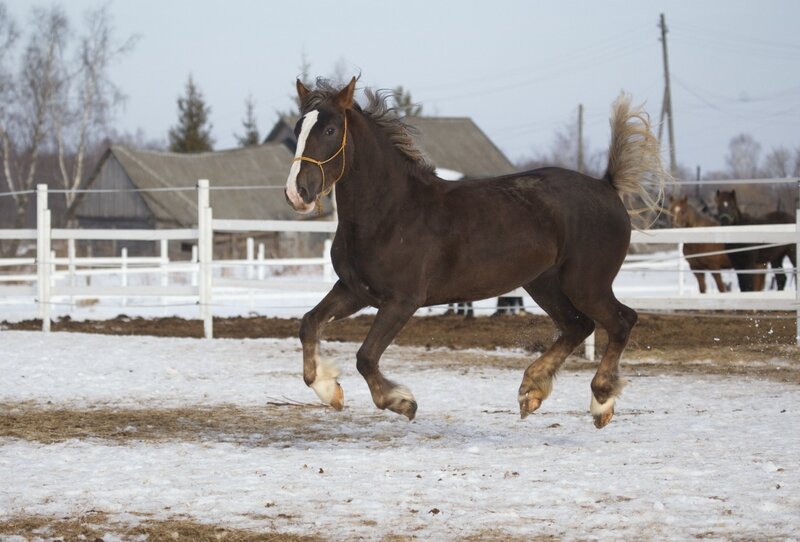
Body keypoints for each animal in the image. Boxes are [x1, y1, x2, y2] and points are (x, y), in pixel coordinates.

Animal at [284, 78, 664, 432]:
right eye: (297, 130)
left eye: (330, 130)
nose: (297, 193)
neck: (390, 212)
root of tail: (607, 187)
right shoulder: (355, 291)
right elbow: (309, 324)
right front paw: (330, 391)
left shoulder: (401, 300)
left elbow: (365, 356)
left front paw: (401, 402)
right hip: (543, 284)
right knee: (577, 325)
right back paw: (531, 391)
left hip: (586, 283)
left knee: (621, 320)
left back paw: (600, 403)